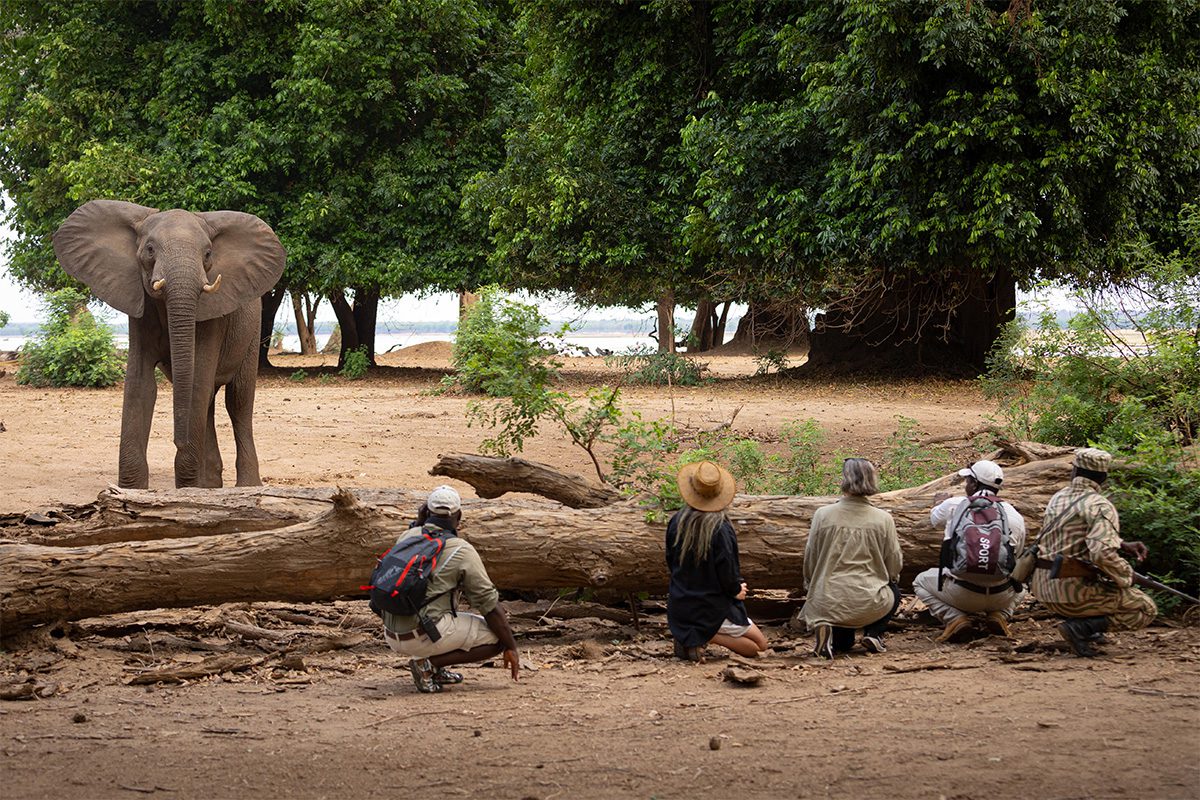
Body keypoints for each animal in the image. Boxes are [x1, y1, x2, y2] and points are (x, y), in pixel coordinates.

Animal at [53, 199, 286, 489]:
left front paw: (186, 486)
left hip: (252, 333)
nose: (178, 441)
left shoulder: (211, 317)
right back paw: (210, 486)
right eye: (150, 249)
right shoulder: (140, 312)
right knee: (208, 403)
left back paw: (245, 487)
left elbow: (196, 383)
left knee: (238, 401)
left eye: (208, 254)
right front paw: (132, 491)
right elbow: (140, 386)